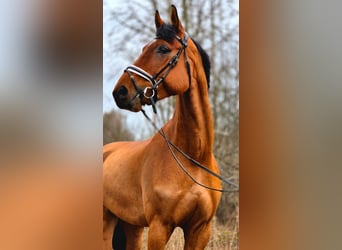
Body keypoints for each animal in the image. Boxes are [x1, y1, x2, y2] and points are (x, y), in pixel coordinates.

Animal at [103, 4, 222, 249]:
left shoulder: (200, 230)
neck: (193, 157)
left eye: (163, 49)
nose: (120, 92)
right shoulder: (160, 227)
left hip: (131, 226)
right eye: (143, 48)